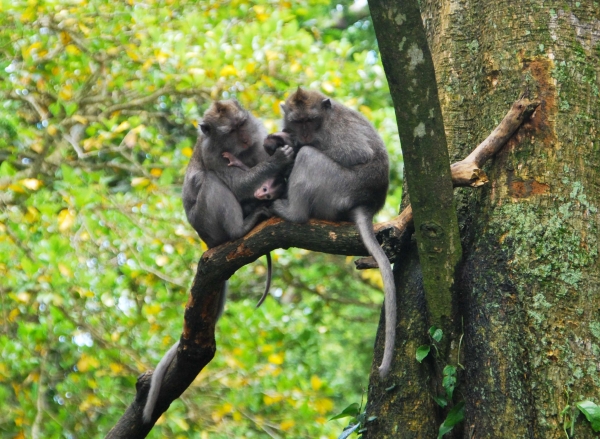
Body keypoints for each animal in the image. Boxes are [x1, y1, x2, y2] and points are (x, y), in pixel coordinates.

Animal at [145, 99, 296, 422]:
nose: (244, 140)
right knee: (209, 180)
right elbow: (233, 181)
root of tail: (208, 242)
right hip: (209, 224)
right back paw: (241, 227)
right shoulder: (213, 155)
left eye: (242, 125)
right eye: (231, 131)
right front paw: (276, 162)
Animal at [270, 88, 394, 378]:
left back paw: (293, 211)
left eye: (310, 121)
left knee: (309, 157)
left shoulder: (336, 133)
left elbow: (356, 153)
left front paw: (293, 143)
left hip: (336, 189)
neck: (324, 121)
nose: (303, 134)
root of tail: (366, 203)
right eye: (298, 121)